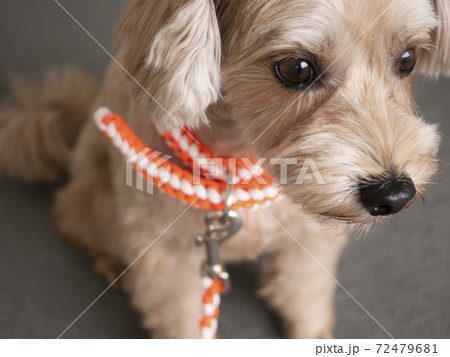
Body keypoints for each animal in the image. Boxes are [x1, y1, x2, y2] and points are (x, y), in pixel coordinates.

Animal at [0, 0, 448, 338]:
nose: (394, 194)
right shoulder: (169, 262)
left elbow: (304, 291)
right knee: (70, 217)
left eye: (408, 59)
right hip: (95, 201)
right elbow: (181, 325)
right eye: (297, 68)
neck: (243, 163)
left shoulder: (311, 237)